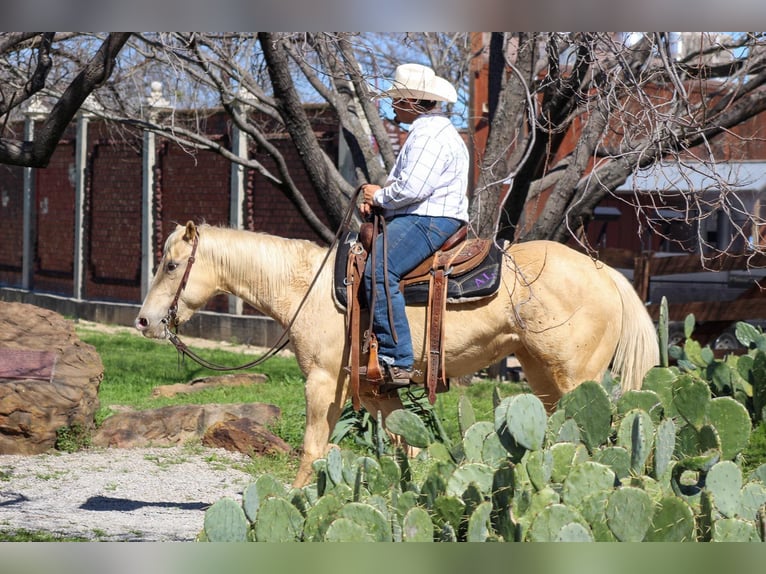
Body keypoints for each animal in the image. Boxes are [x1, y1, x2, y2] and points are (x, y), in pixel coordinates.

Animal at [135, 221, 659, 487]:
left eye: (172, 265)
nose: (144, 321)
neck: (308, 288)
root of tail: (606, 273)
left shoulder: (322, 382)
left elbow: (313, 448)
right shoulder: (379, 390)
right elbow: (405, 447)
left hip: (577, 379)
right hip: (542, 376)